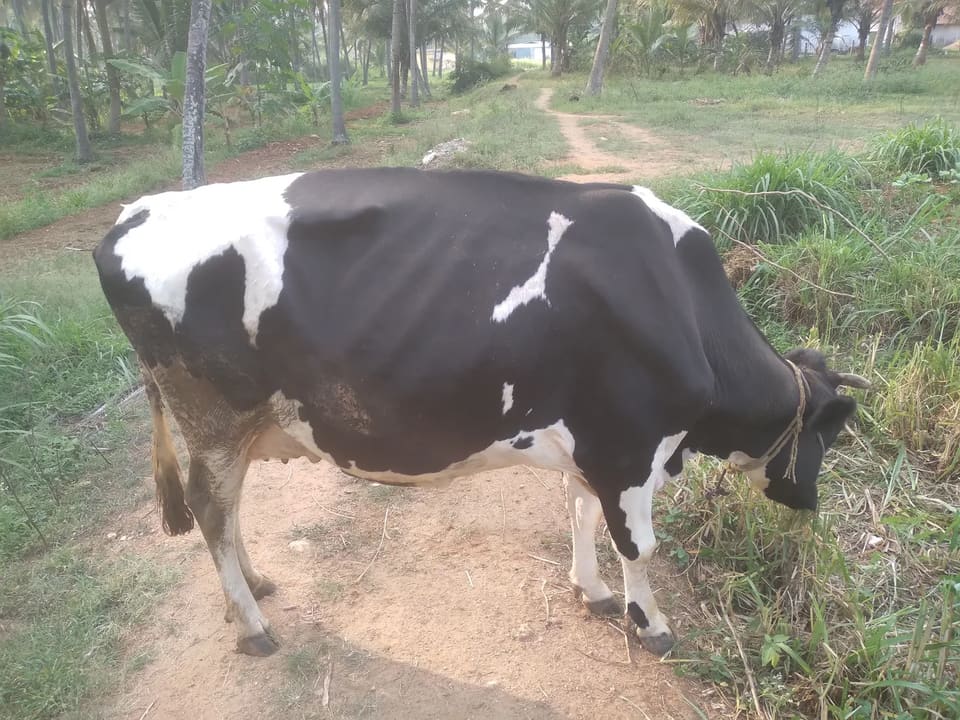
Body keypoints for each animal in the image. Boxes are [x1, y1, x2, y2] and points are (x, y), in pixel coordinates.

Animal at [93, 168, 869, 658]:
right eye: (829, 435)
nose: (809, 500)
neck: (681, 302)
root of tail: (134, 213)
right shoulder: (629, 445)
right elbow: (638, 546)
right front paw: (649, 623)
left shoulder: (592, 440)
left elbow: (579, 511)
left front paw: (590, 589)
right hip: (213, 416)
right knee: (211, 509)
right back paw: (250, 625)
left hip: (229, 426)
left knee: (225, 512)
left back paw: (251, 588)